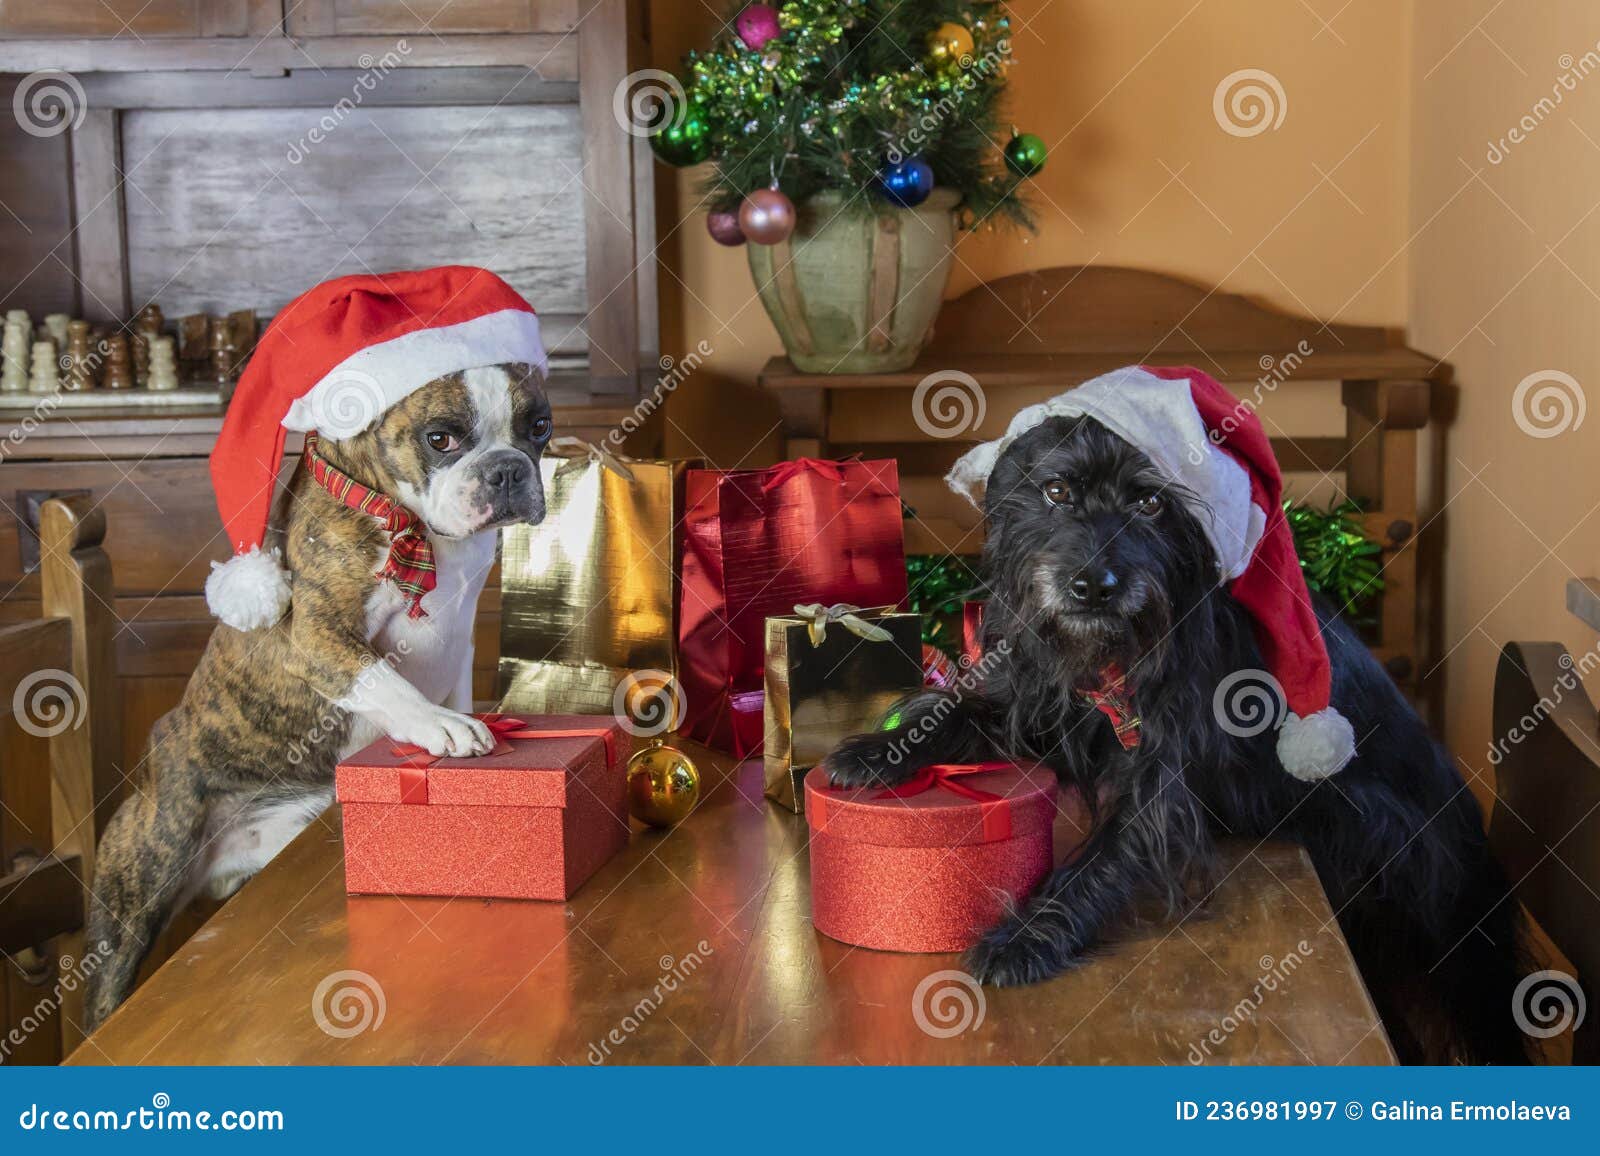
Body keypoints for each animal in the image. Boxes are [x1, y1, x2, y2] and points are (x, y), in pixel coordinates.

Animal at [87, 361, 553, 1024]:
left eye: (538, 428)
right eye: (441, 438)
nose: (508, 468)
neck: (404, 515)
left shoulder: (460, 642)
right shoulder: (318, 634)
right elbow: (386, 681)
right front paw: (441, 726)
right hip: (141, 890)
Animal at [832, 413, 1529, 1063]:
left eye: (1150, 503)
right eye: (1056, 490)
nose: (1092, 586)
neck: (1116, 651)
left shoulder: (1161, 780)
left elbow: (1101, 855)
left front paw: (1028, 933)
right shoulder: (1042, 713)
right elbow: (956, 714)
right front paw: (877, 752)